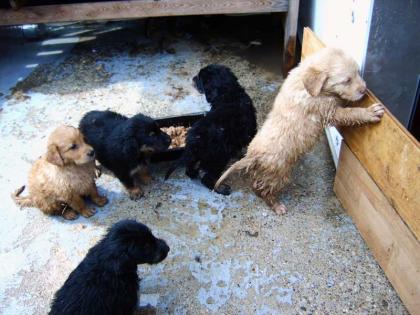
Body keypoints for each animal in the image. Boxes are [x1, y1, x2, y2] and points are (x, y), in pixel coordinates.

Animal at [164, 65, 256, 195]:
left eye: (199, 78)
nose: (193, 78)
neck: (228, 93)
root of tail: (194, 140)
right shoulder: (249, 131)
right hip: (219, 158)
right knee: (206, 178)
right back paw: (221, 189)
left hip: (198, 156)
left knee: (190, 169)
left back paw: (194, 174)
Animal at [215, 47, 386, 215]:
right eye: (346, 80)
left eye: (358, 72)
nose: (364, 90)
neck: (307, 85)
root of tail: (251, 156)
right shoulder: (327, 110)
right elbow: (350, 113)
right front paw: (370, 112)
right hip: (278, 173)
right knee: (263, 189)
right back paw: (277, 206)